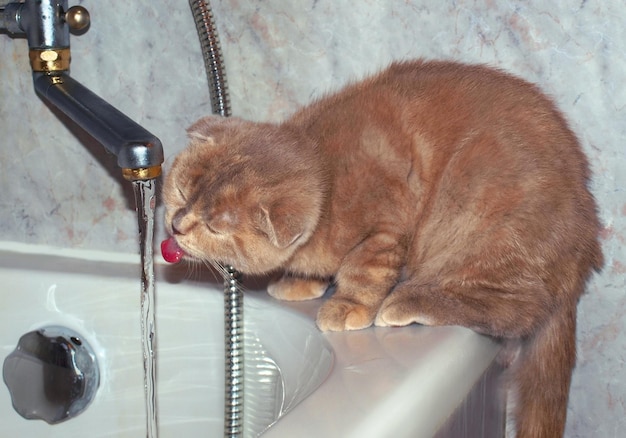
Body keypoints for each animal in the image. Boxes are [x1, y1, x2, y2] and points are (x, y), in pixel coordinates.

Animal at [161, 59, 600, 438]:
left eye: (214, 226)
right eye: (181, 189)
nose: (176, 225)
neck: (328, 178)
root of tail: (581, 251)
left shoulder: (385, 229)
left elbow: (363, 272)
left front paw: (347, 306)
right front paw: (301, 281)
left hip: (479, 222)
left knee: (517, 311)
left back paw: (410, 299)